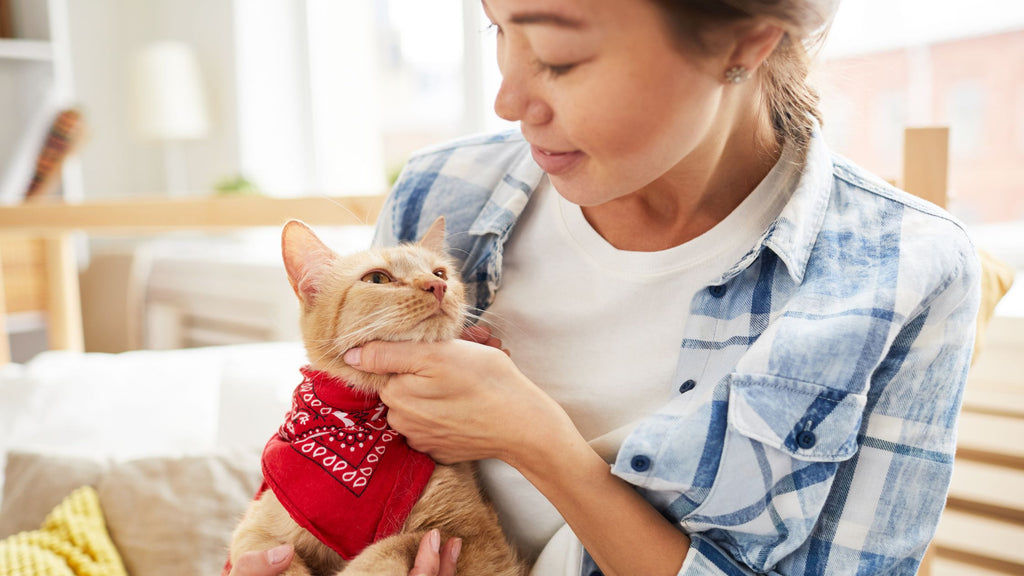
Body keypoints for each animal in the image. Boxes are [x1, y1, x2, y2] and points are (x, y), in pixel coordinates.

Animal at [229, 217, 524, 573]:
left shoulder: (478, 539)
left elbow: (386, 550)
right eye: (377, 279)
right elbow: (279, 559)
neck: (361, 421)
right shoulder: (257, 530)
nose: (436, 286)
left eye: (440, 273)